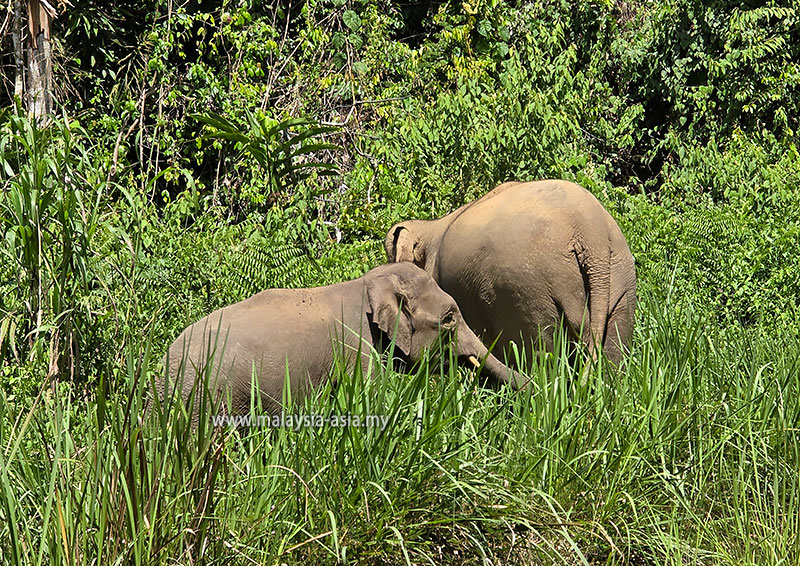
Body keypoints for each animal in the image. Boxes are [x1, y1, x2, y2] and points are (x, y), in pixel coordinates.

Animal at [385, 180, 636, 367]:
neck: (431, 226)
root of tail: (592, 233)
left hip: (527, 290)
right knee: (614, 351)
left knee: (538, 352)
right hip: (621, 278)